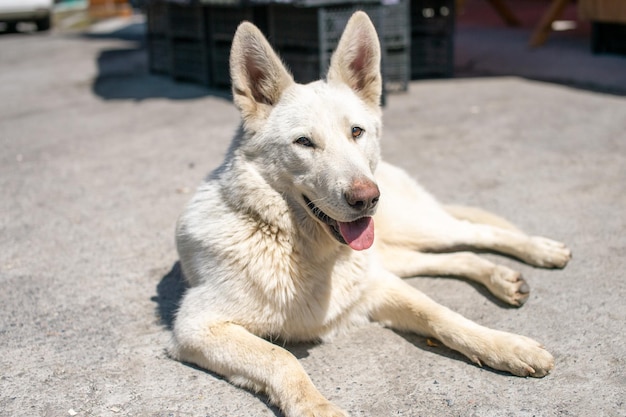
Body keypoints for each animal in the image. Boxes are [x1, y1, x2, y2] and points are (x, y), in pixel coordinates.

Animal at [168, 11, 568, 414]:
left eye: (356, 132)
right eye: (304, 142)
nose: (367, 198)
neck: (302, 249)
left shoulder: (378, 287)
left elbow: (439, 313)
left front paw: (505, 345)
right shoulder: (196, 327)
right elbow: (281, 358)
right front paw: (316, 407)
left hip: (417, 229)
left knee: (476, 232)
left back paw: (539, 251)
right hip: (395, 253)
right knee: (458, 256)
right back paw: (502, 277)